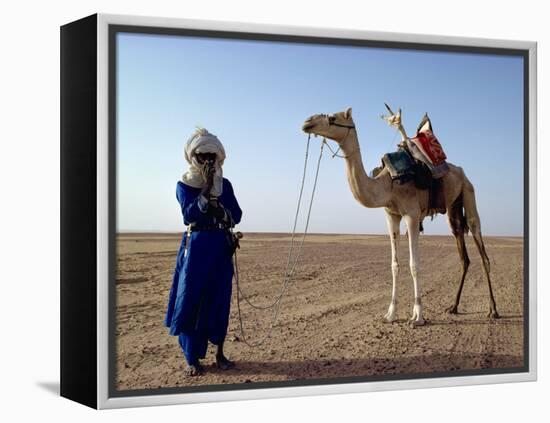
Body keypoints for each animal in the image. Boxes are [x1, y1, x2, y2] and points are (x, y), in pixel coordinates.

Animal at [302, 107, 500, 326]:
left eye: (332, 117)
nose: (307, 122)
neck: (388, 185)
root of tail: (461, 171)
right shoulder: (392, 216)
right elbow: (395, 265)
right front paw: (390, 314)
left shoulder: (412, 215)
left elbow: (414, 264)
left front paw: (418, 316)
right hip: (454, 206)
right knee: (463, 252)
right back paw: (454, 307)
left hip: (468, 190)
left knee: (480, 246)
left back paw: (493, 310)